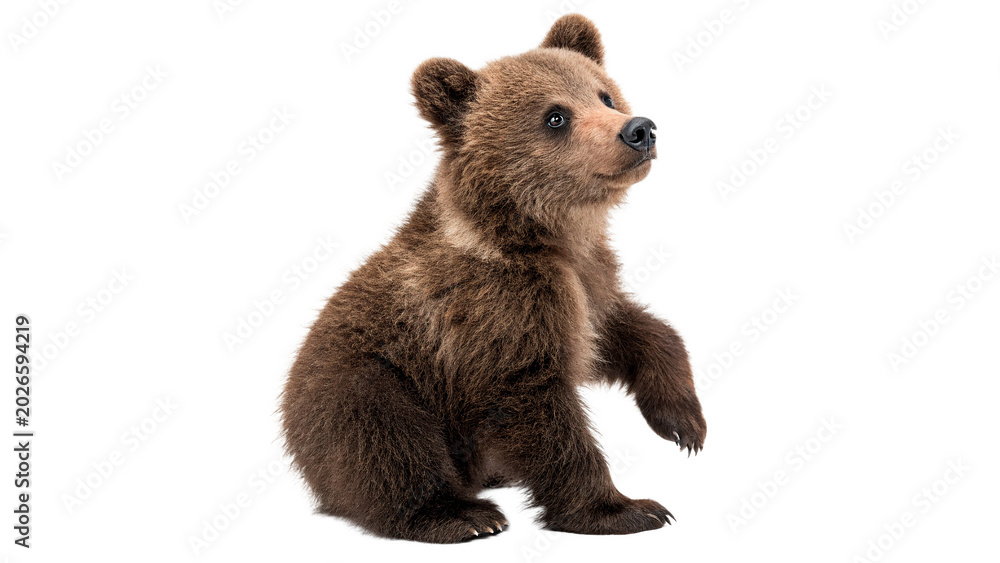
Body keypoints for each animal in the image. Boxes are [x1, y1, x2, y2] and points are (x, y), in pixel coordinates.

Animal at [280, 14, 706, 543]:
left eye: (605, 95)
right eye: (555, 116)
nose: (639, 129)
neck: (545, 233)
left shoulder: (587, 281)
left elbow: (626, 332)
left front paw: (684, 422)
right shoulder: (495, 306)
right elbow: (534, 402)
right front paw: (625, 508)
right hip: (362, 385)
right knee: (386, 440)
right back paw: (462, 514)